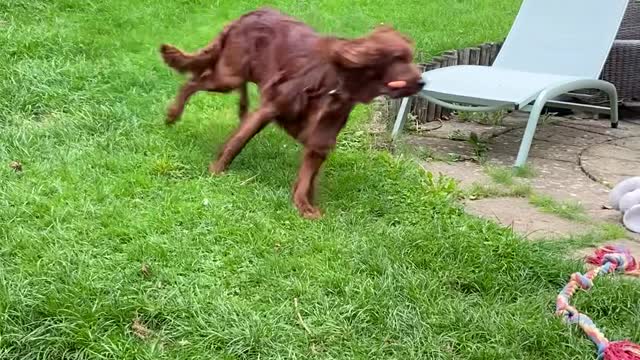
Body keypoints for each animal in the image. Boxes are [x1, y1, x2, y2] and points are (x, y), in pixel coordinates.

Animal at [159, 7, 424, 217]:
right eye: (399, 58)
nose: (422, 83)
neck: (337, 81)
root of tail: (248, 14)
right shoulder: (270, 108)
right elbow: (238, 141)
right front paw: (216, 171)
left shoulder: (321, 136)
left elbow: (307, 175)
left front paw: (304, 206)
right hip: (228, 76)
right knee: (193, 82)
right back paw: (173, 114)